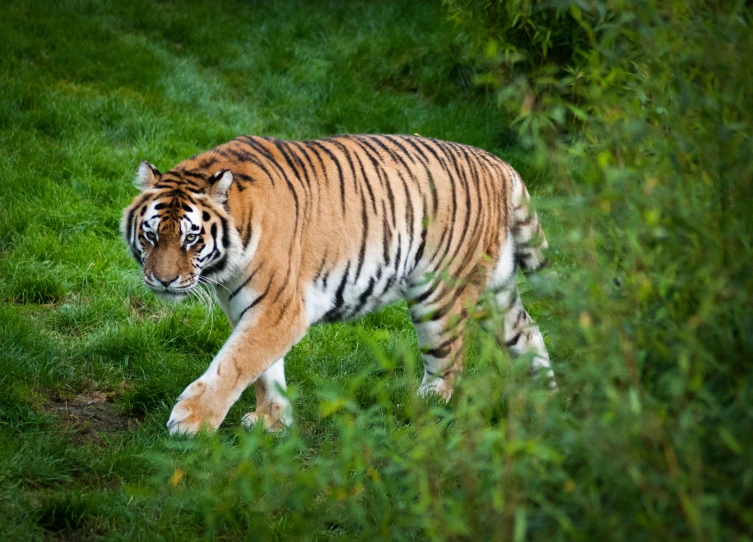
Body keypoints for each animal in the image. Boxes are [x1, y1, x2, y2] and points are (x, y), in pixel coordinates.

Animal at [120, 136, 556, 438]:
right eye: (150, 235)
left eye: (191, 239)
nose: (163, 280)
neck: (223, 267)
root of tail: (501, 165)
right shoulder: (251, 309)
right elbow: (263, 368)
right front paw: (273, 421)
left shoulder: (279, 309)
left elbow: (235, 363)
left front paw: (191, 421)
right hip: (494, 292)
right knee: (528, 332)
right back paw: (547, 400)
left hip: (439, 295)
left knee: (448, 367)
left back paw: (423, 408)